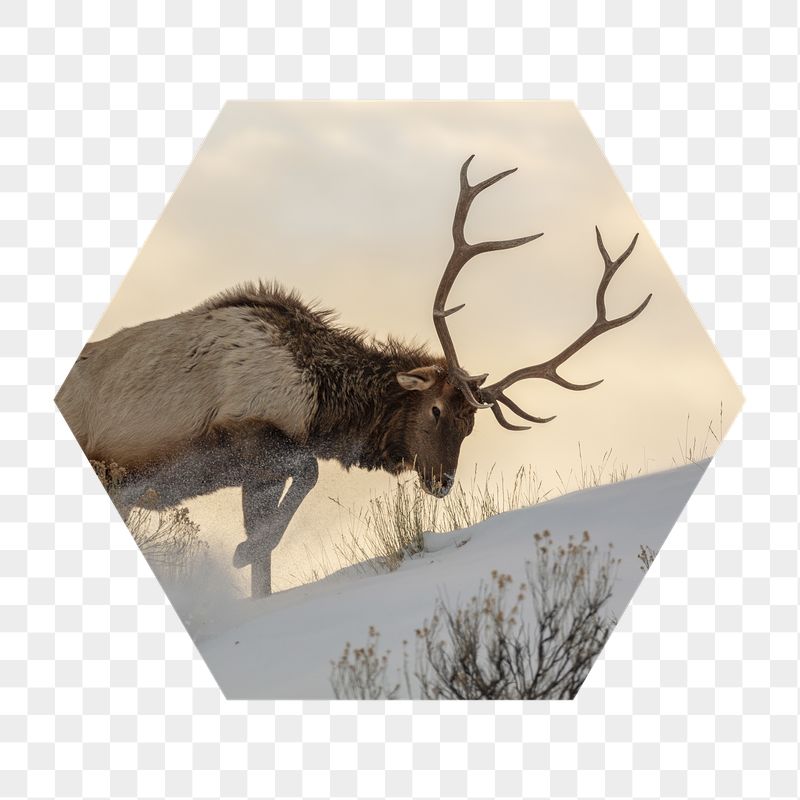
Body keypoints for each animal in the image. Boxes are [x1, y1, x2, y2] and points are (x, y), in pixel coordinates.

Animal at [56, 155, 651, 598]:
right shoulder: (245, 433)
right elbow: (305, 480)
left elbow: (269, 550)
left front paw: (254, 565)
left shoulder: (258, 468)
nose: (441, 482)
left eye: (471, 425)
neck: (321, 401)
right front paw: (243, 551)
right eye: (436, 408)